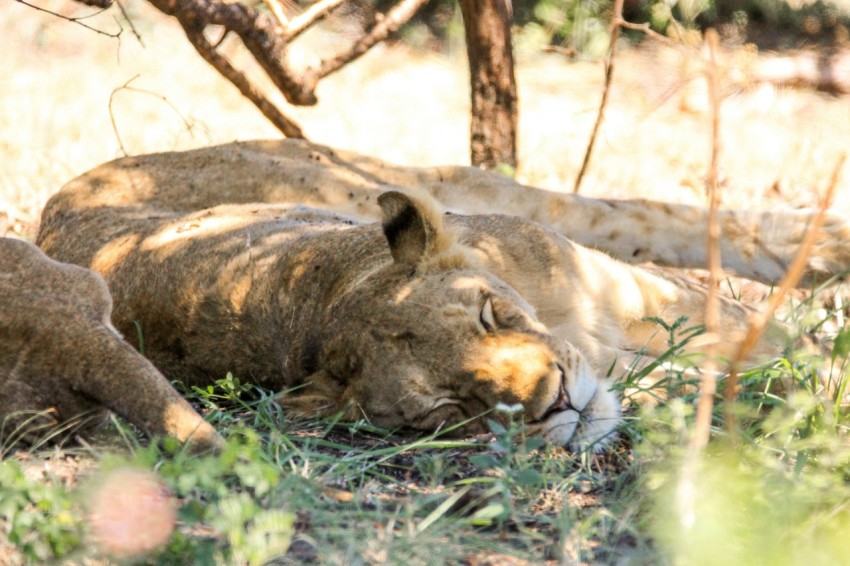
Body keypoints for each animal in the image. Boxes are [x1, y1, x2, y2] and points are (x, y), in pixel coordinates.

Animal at [21, 139, 842, 449]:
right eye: (452, 409)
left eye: (486, 313)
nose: (556, 402)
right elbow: (715, 374)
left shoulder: (630, 296)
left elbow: (761, 336)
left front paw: (823, 369)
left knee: (635, 213)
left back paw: (830, 246)